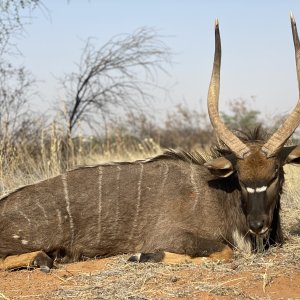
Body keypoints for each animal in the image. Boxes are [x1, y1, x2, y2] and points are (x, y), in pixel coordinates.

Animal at [0, 14, 300, 272]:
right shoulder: (173, 235)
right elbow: (225, 252)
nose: (257, 224)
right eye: (239, 176)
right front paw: (142, 255)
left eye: (275, 173)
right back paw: (41, 260)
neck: (221, 195)